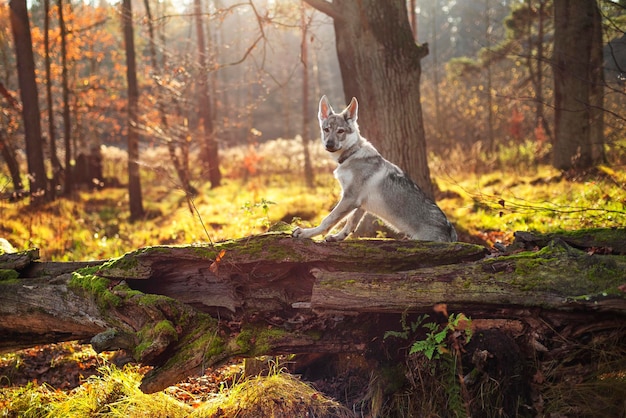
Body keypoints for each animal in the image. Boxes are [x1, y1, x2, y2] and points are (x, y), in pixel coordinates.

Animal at [290, 95, 456, 243]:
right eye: (326, 129)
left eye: (340, 131)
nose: (329, 144)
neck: (352, 154)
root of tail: (451, 232)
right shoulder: (359, 203)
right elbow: (350, 224)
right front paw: (337, 238)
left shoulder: (350, 197)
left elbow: (328, 220)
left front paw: (307, 233)